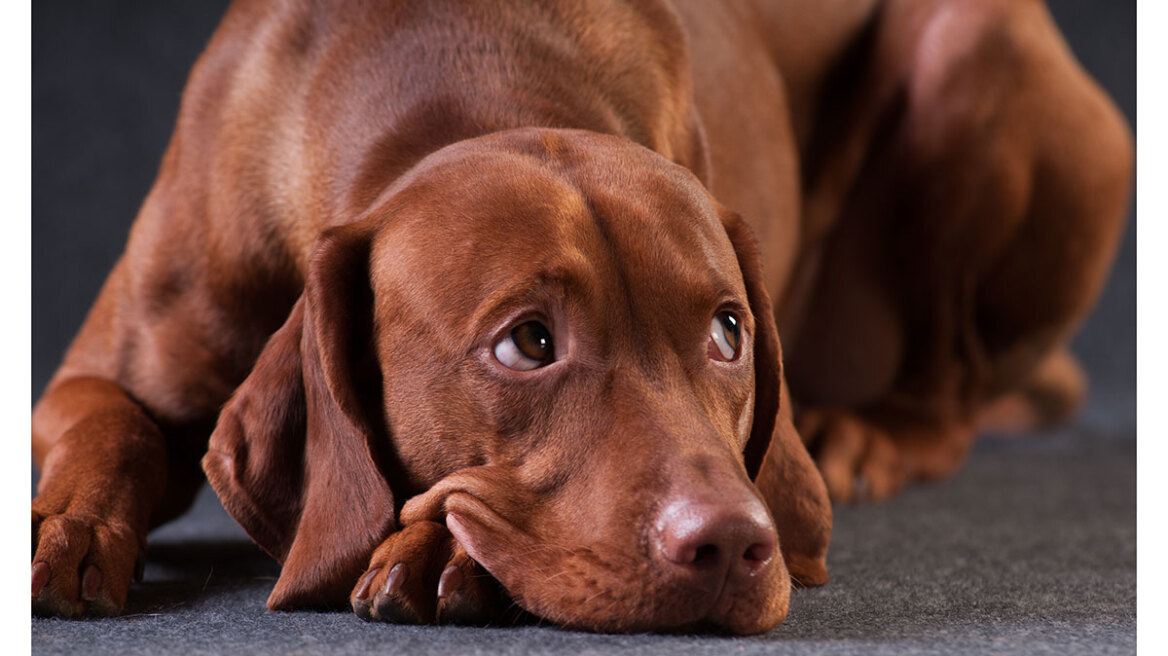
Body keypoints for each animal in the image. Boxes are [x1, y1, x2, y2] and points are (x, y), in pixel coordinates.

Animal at [34, 0, 1130, 634]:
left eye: (728, 331)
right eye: (527, 342)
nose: (733, 545)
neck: (460, 74)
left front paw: (439, 548)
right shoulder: (98, 371)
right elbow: (112, 424)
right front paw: (70, 524)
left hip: (973, 41)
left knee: (946, 378)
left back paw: (877, 433)